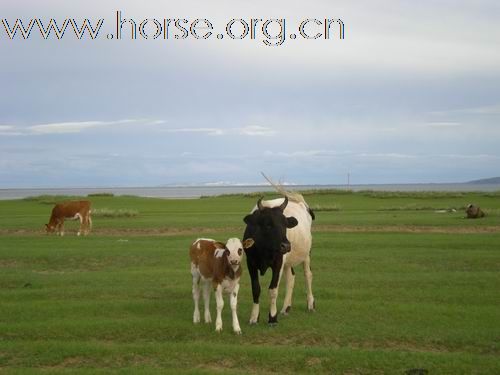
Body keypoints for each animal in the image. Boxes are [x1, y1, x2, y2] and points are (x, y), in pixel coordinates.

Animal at [244, 195, 314, 324]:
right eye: (268, 224)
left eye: (285, 224)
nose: (286, 246)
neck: (264, 249)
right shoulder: (250, 263)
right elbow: (255, 289)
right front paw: (254, 317)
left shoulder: (278, 264)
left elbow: (273, 290)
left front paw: (272, 317)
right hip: (288, 262)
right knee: (291, 278)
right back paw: (286, 308)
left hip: (306, 254)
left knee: (308, 275)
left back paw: (311, 304)